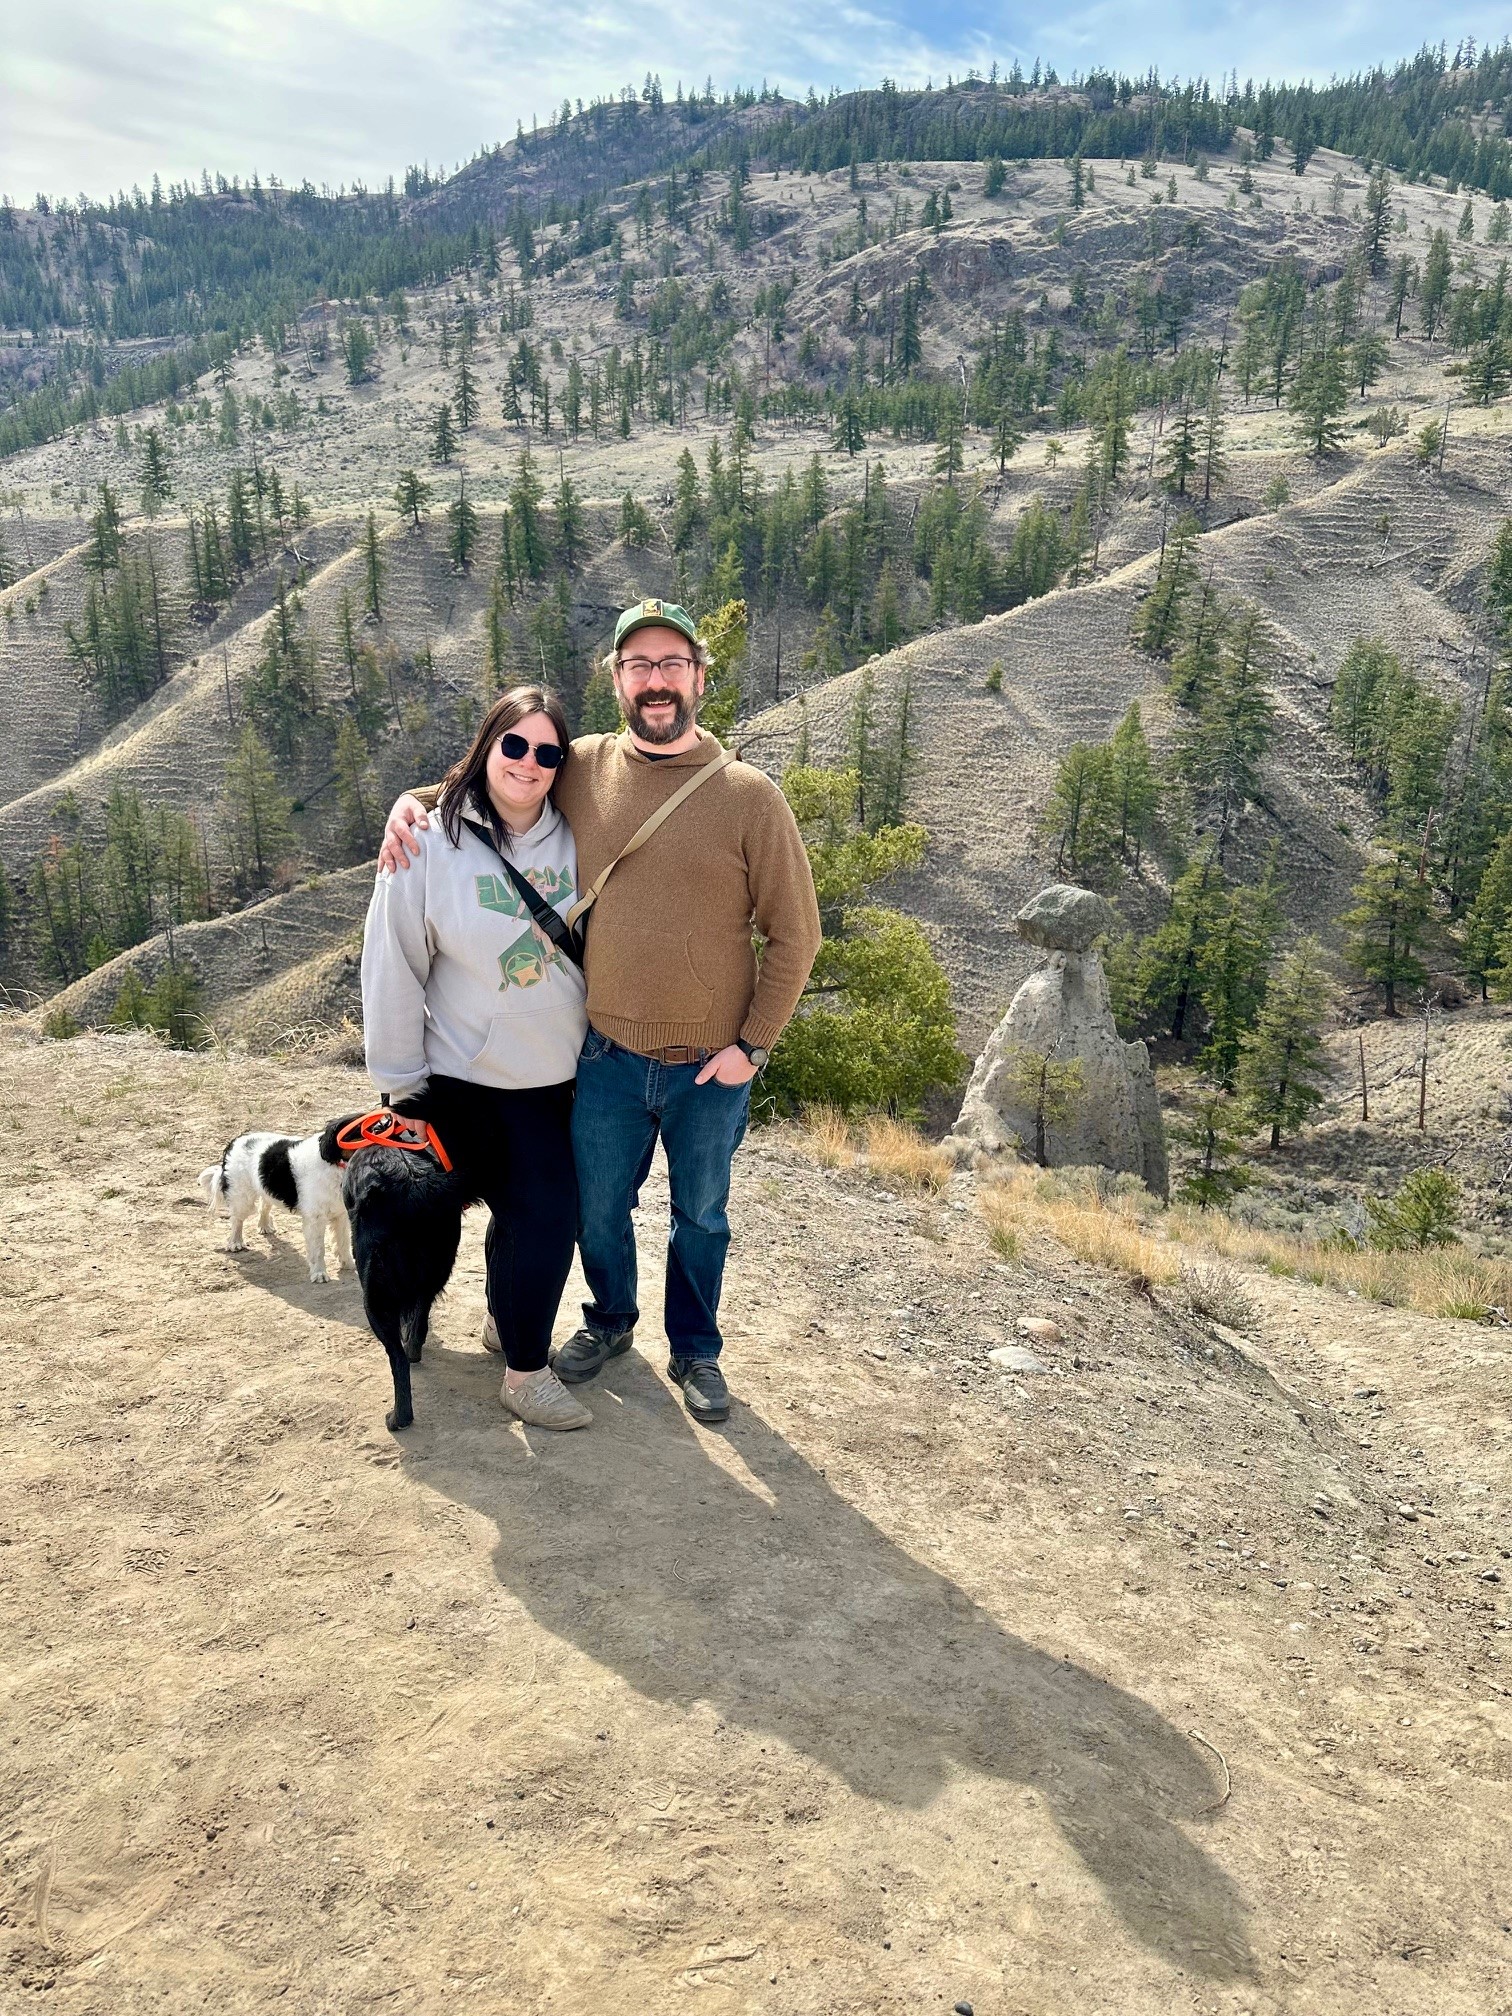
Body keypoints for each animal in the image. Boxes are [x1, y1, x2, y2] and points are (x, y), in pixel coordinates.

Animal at [199, 1128, 354, 1282]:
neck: (333, 1163)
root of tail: (236, 1140)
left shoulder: (341, 1214)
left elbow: (343, 1242)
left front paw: (348, 1264)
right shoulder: (315, 1218)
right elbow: (318, 1249)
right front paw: (319, 1274)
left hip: (265, 1187)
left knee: (264, 1204)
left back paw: (264, 1226)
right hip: (242, 1198)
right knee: (237, 1219)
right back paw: (235, 1242)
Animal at [324, 1120, 473, 1435]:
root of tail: (414, 1184)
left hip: (376, 1300)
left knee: (398, 1361)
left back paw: (399, 1417)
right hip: (435, 1273)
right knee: (420, 1323)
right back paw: (414, 1349)